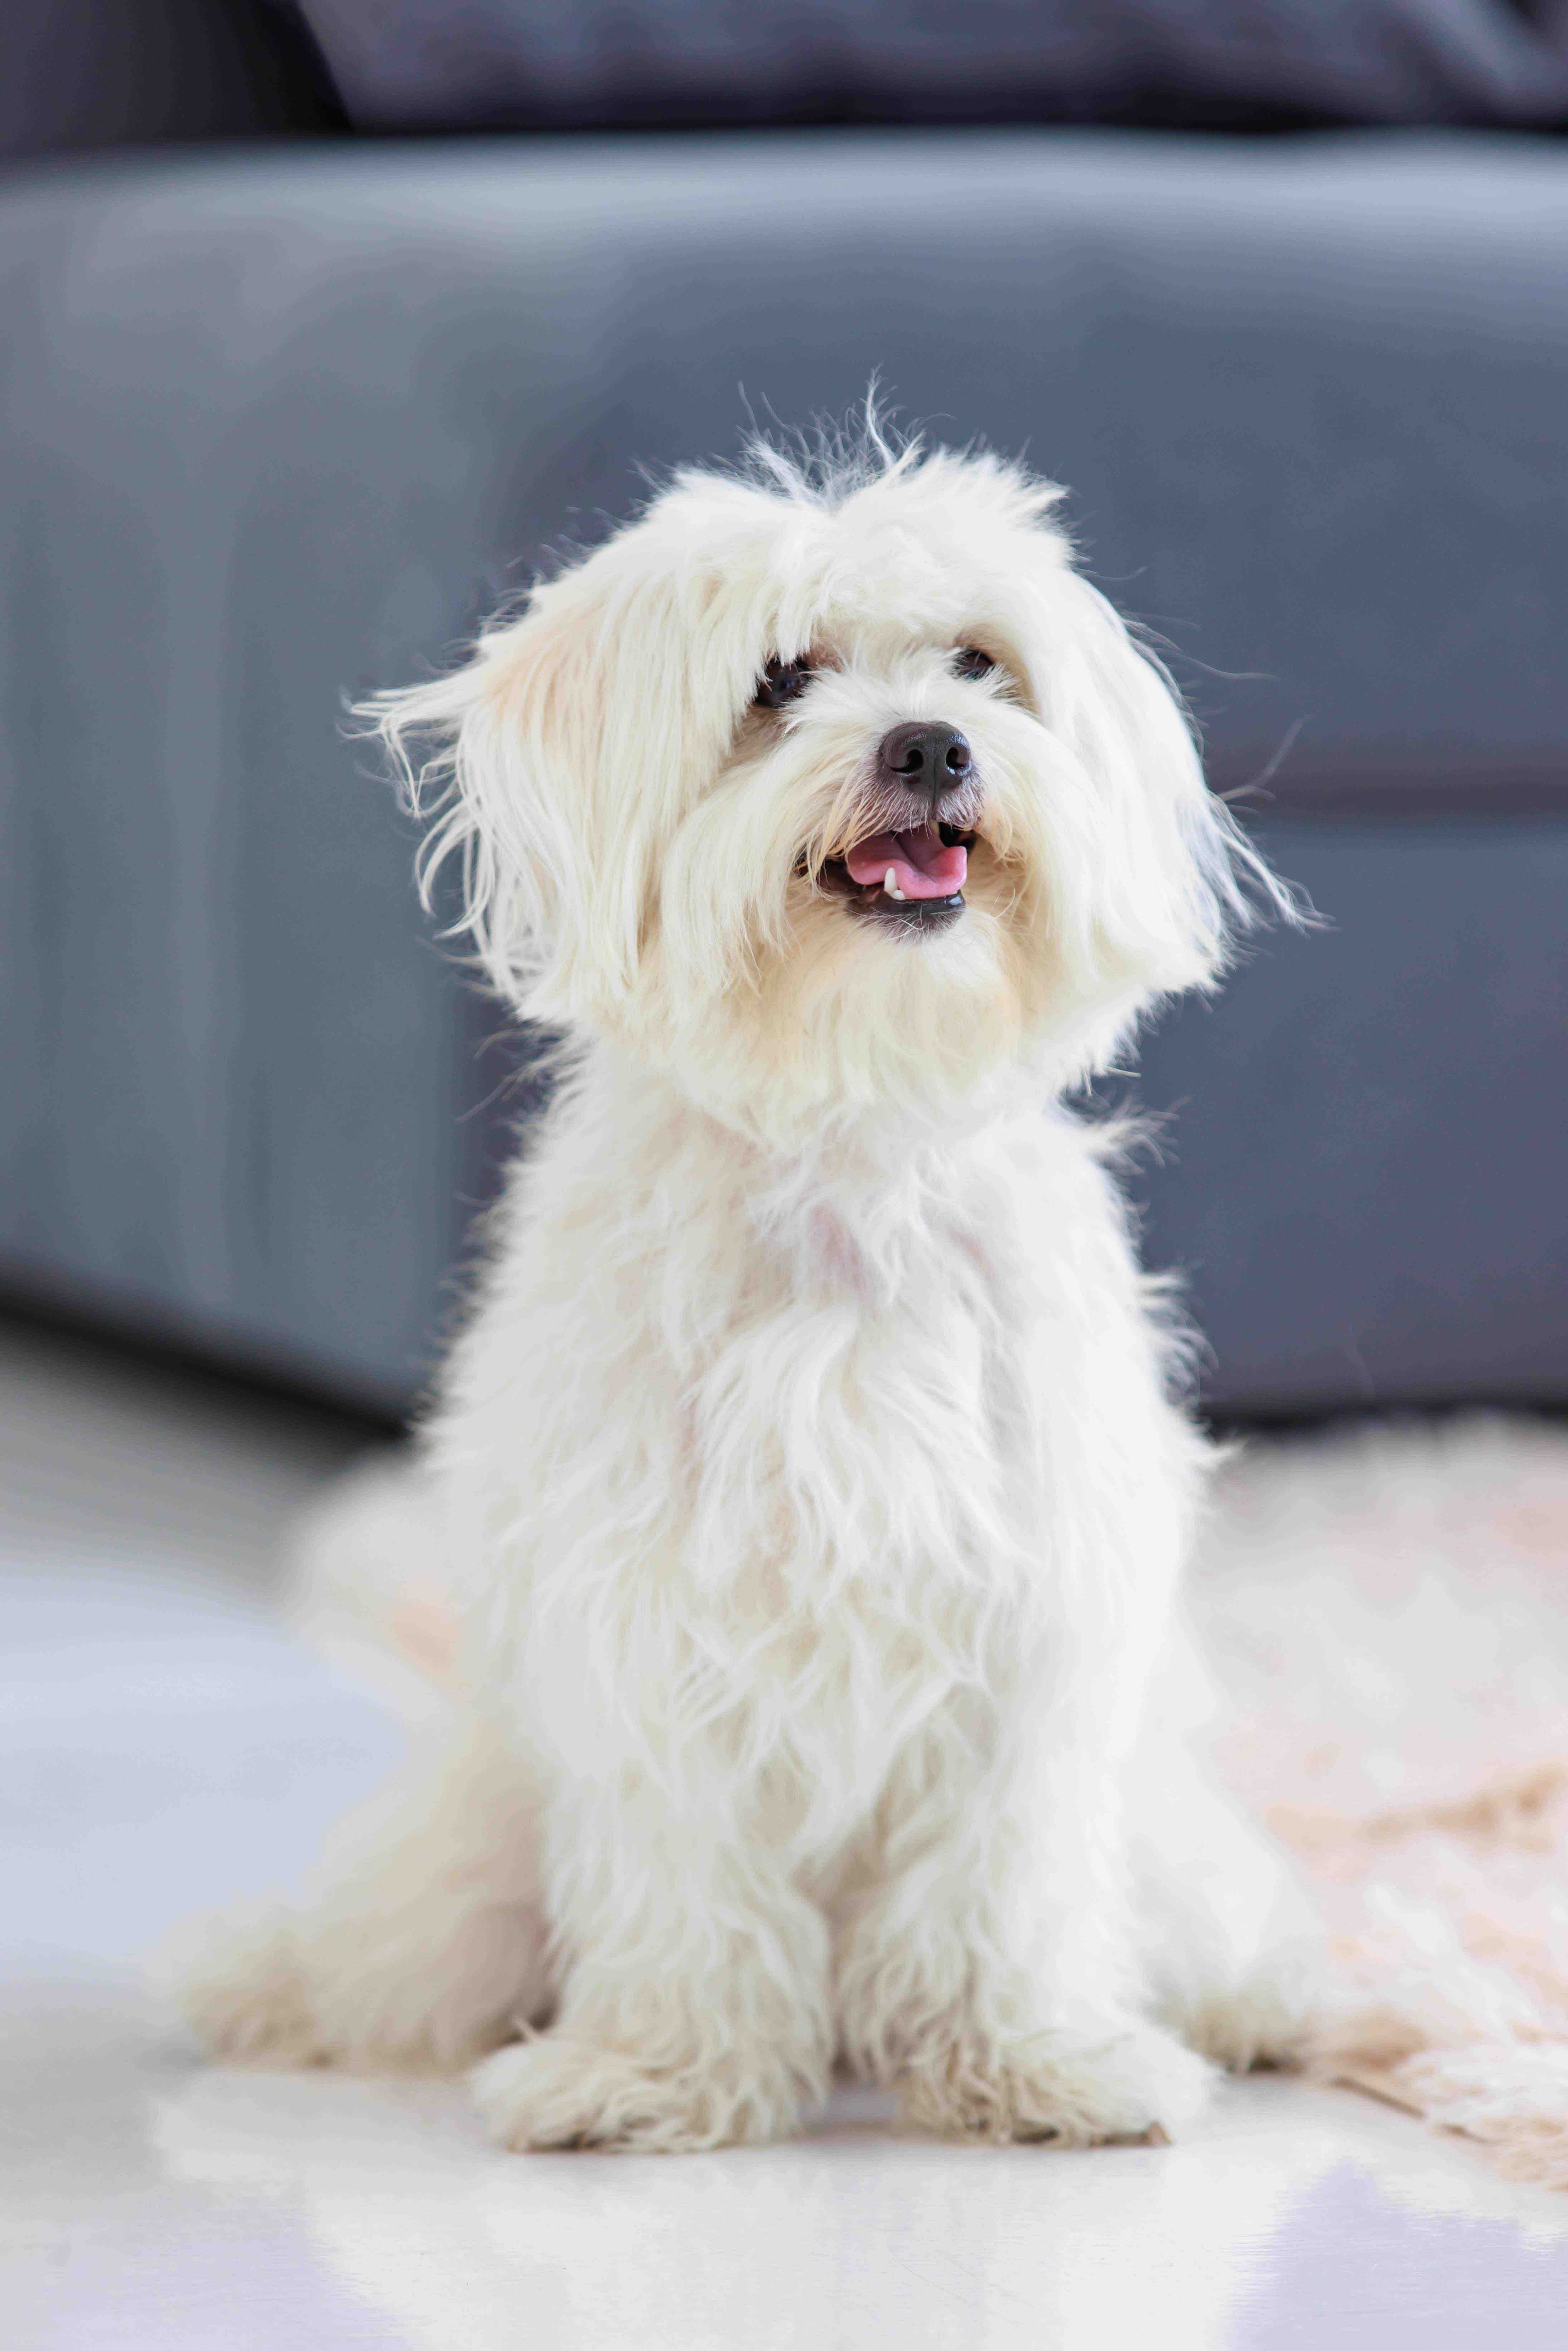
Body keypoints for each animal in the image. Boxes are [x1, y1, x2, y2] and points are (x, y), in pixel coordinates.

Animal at [177, 423, 1316, 2153]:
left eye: (980, 664)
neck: (850, 1129)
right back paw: (272, 1978)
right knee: (405, 1947)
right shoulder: (650, 1616)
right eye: (781, 679)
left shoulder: (1023, 1612)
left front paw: (1035, 2064)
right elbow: (681, 1878)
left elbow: (1001, 1880)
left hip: (1171, 1849)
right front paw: (662, 2073)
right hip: (473, 1847)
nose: (933, 745)